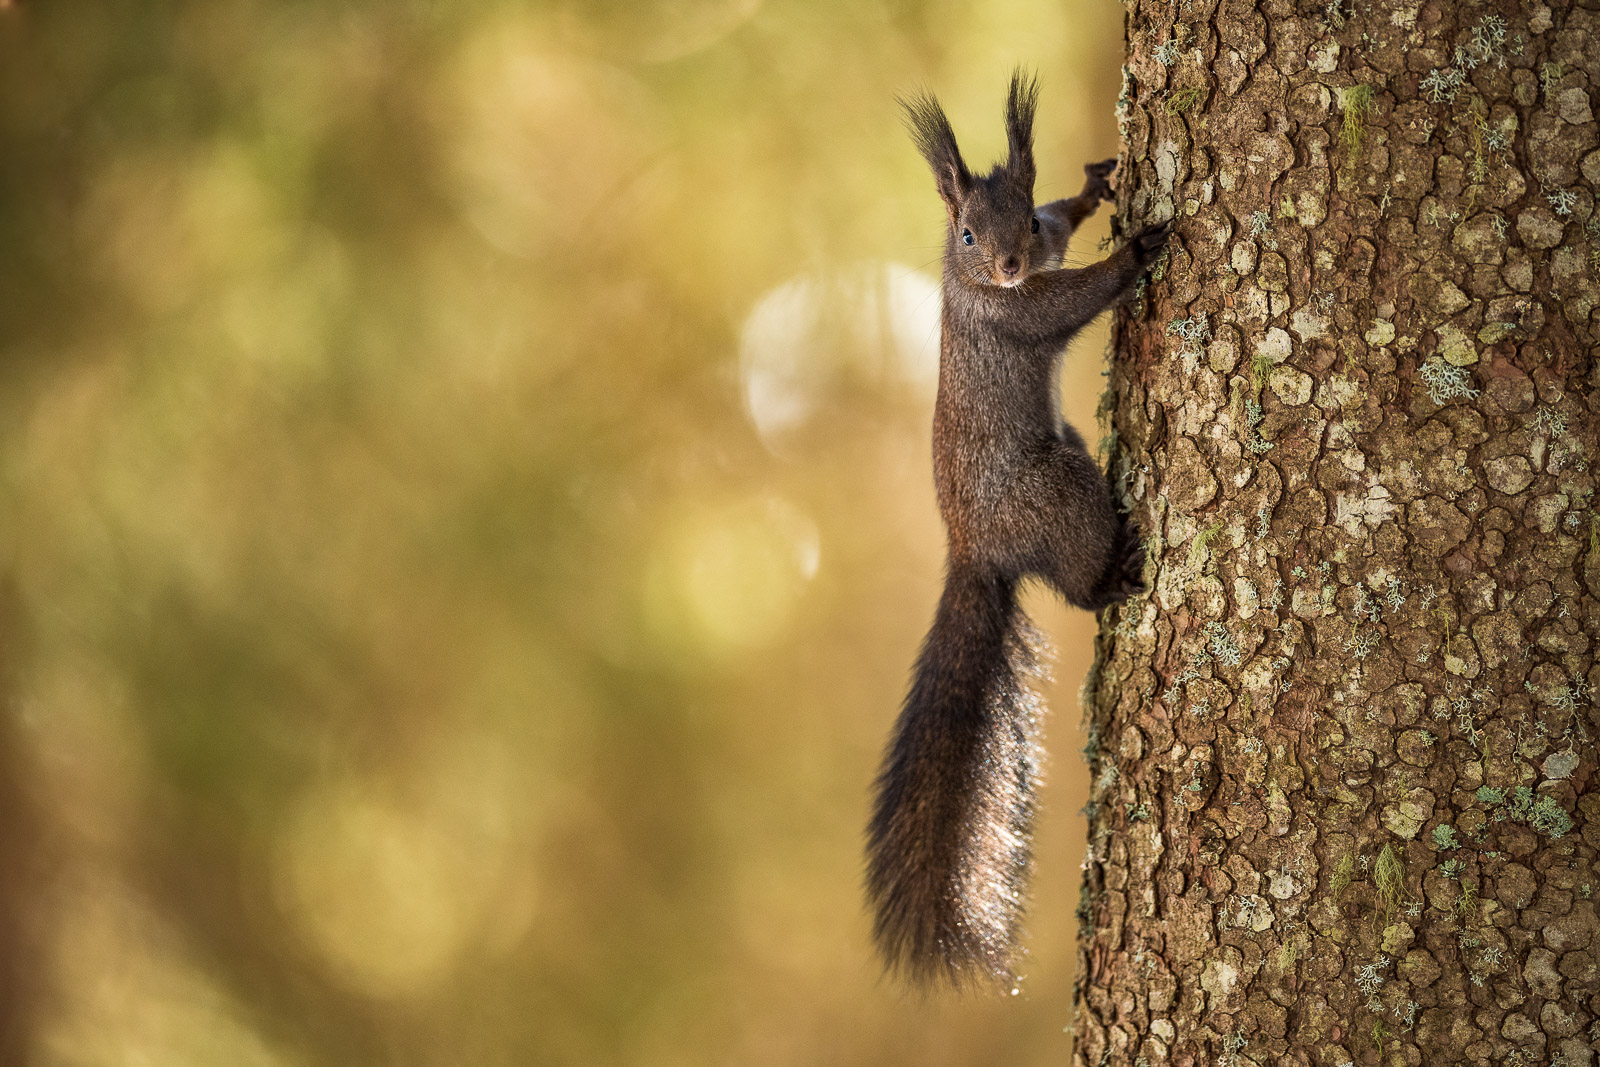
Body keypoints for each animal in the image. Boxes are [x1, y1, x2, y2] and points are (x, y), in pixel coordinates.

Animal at [865, 71, 1169, 988]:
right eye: (967, 231)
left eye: (1027, 219)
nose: (1005, 264)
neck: (977, 282)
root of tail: (977, 551)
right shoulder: (1011, 313)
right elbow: (1066, 299)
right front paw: (1134, 253)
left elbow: (1068, 237)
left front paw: (1096, 189)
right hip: (1056, 492)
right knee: (1073, 583)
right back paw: (1111, 575)